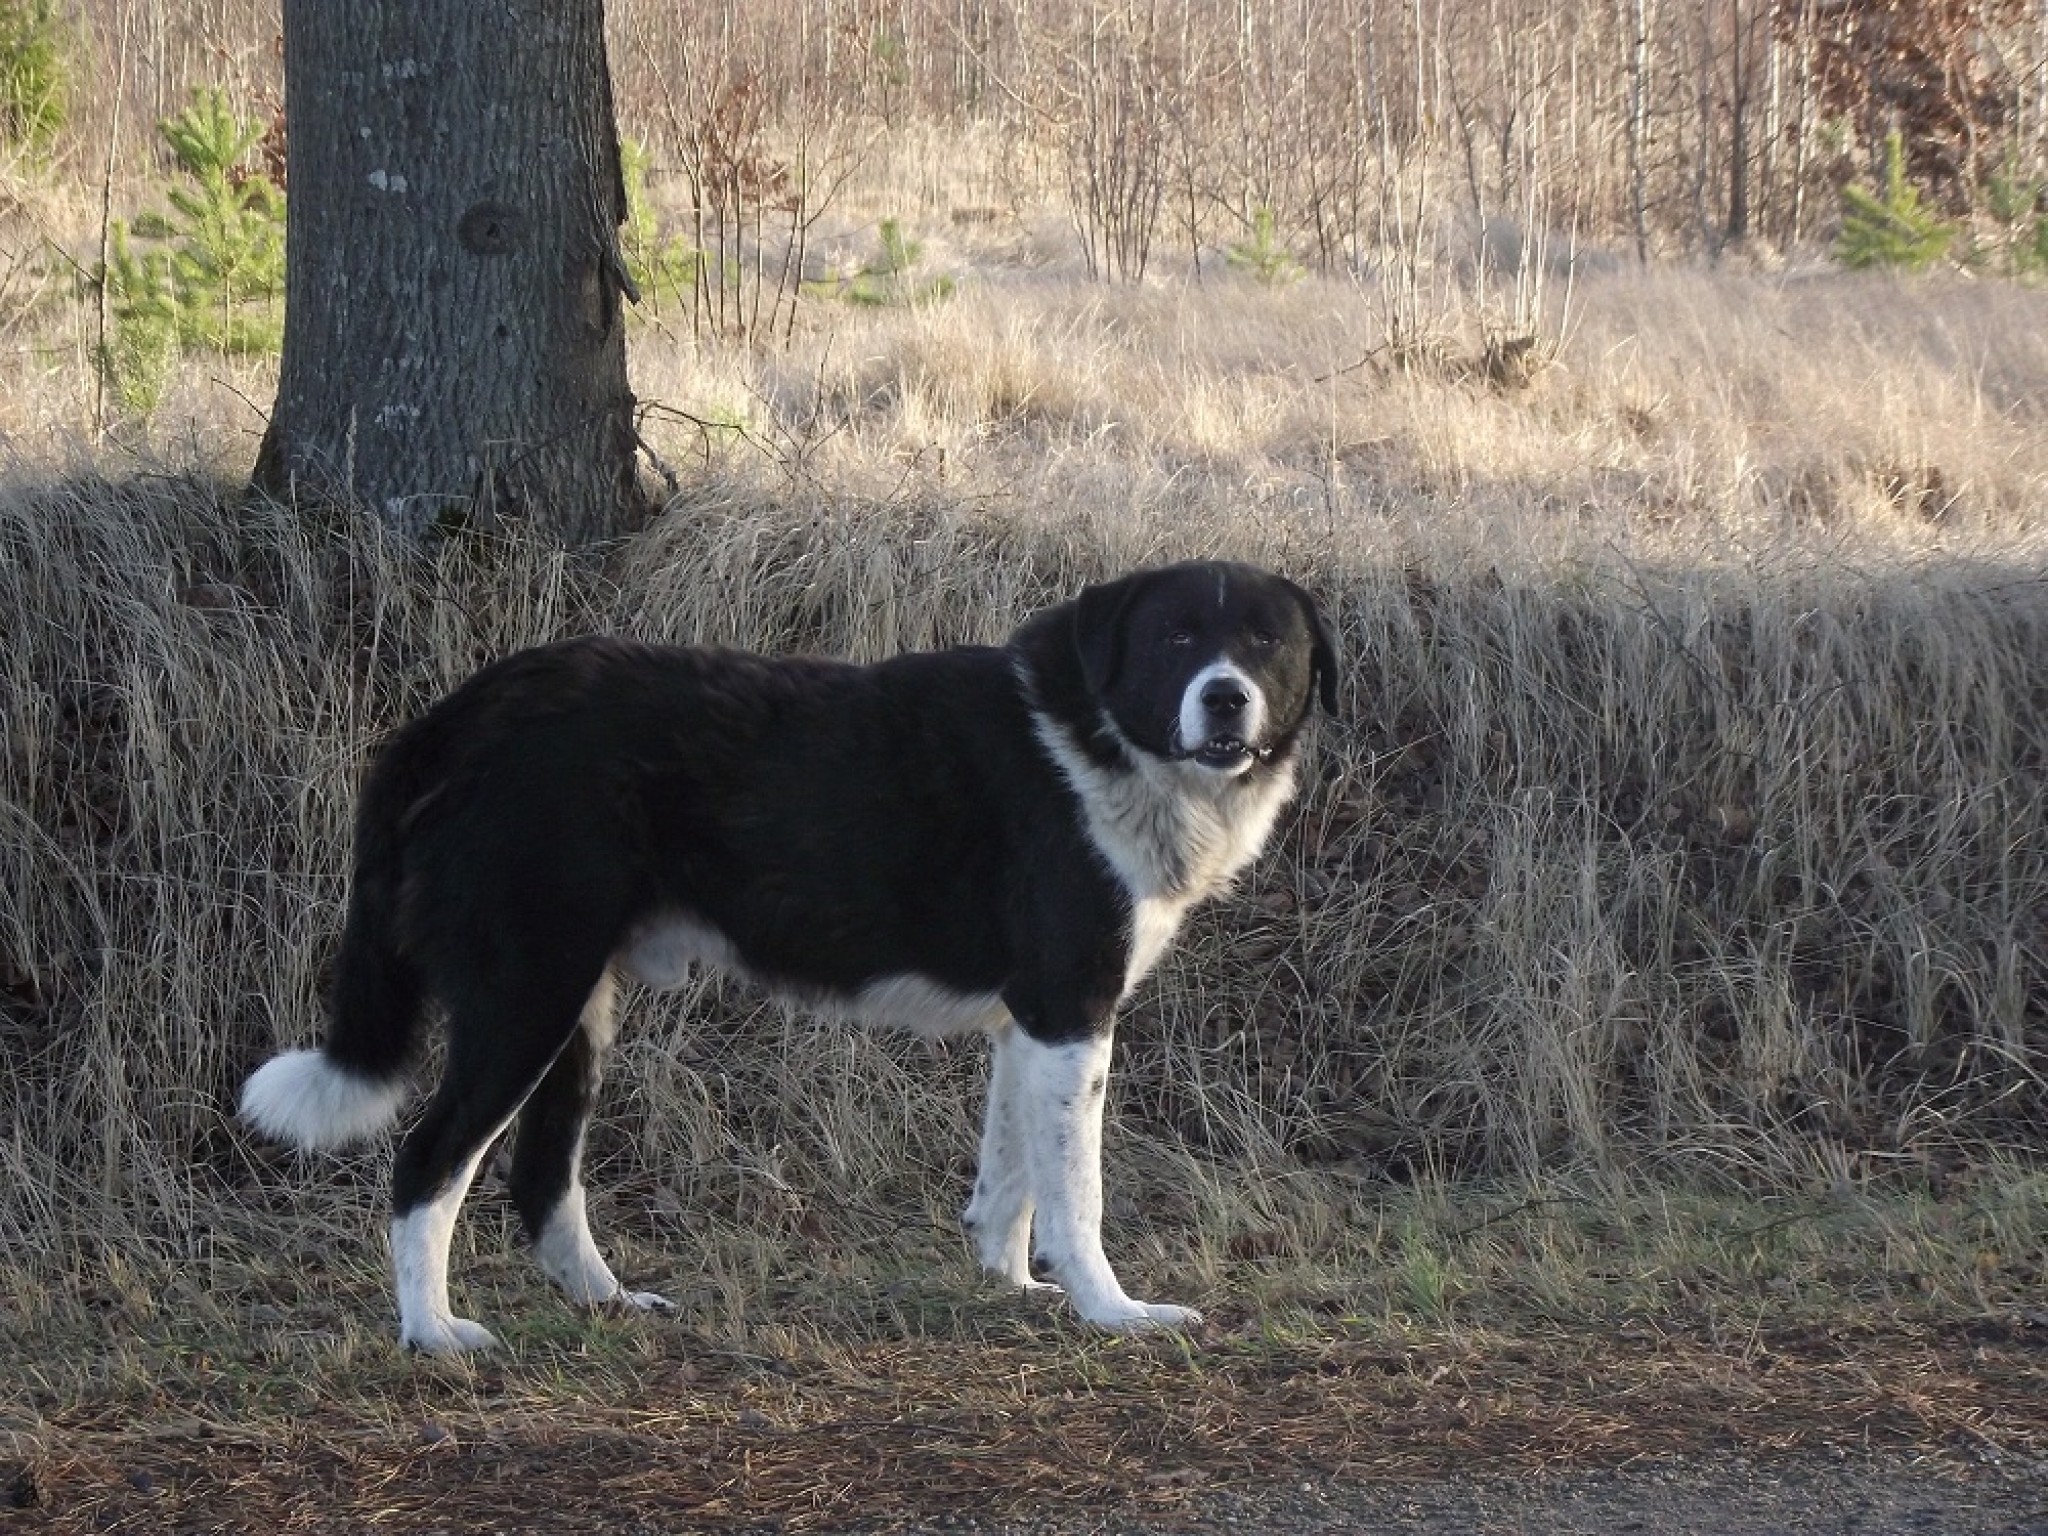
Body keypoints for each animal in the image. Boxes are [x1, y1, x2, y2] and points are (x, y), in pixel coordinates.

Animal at [239, 561, 1335, 1351]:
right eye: (1176, 638)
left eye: (1265, 642)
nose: (1226, 698)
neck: (1100, 737)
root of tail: (452, 716)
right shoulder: (1071, 1011)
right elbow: (1076, 1192)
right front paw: (1110, 1313)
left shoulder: (1029, 1026)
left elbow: (1011, 1179)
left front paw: (1008, 1286)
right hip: (525, 996)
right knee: (429, 1163)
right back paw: (432, 1333)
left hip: (577, 1009)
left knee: (543, 1179)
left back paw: (607, 1305)